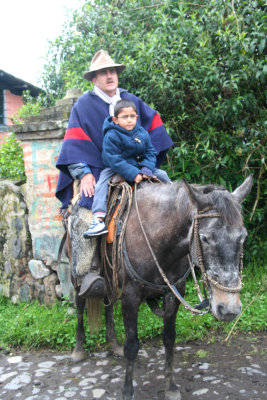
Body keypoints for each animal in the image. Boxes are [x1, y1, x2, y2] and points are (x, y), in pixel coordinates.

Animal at [65, 175, 253, 400]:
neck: (158, 238)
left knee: (108, 303)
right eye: (205, 238)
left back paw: (114, 345)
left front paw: (170, 387)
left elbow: (169, 338)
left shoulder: (173, 293)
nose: (229, 309)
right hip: (77, 273)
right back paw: (78, 349)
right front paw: (127, 391)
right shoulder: (130, 297)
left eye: (243, 236)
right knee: (80, 305)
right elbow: (132, 345)